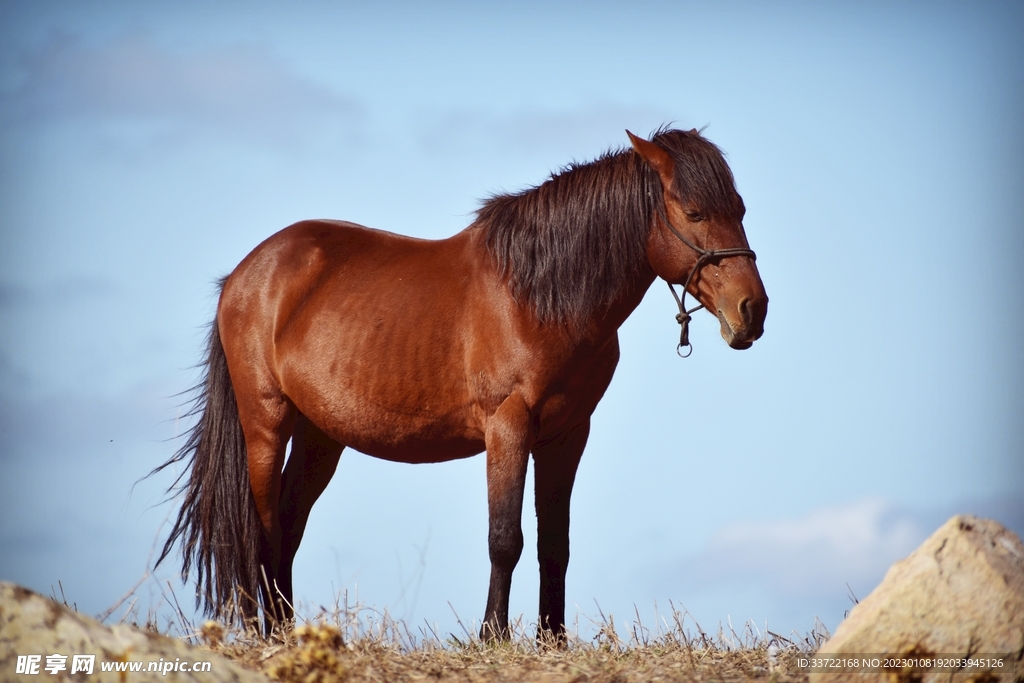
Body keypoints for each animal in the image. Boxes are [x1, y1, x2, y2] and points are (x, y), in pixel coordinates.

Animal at [155, 127, 768, 639]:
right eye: (694, 211)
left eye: (739, 208)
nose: (752, 311)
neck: (538, 296)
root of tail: (244, 274)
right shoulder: (508, 427)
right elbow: (505, 539)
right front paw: (492, 636)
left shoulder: (566, 436)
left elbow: (555, 543)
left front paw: (553, 641)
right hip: (266, 423)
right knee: (260, 528)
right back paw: (268, 637)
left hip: (320, 436)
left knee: (287, 525)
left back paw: (286, 632)